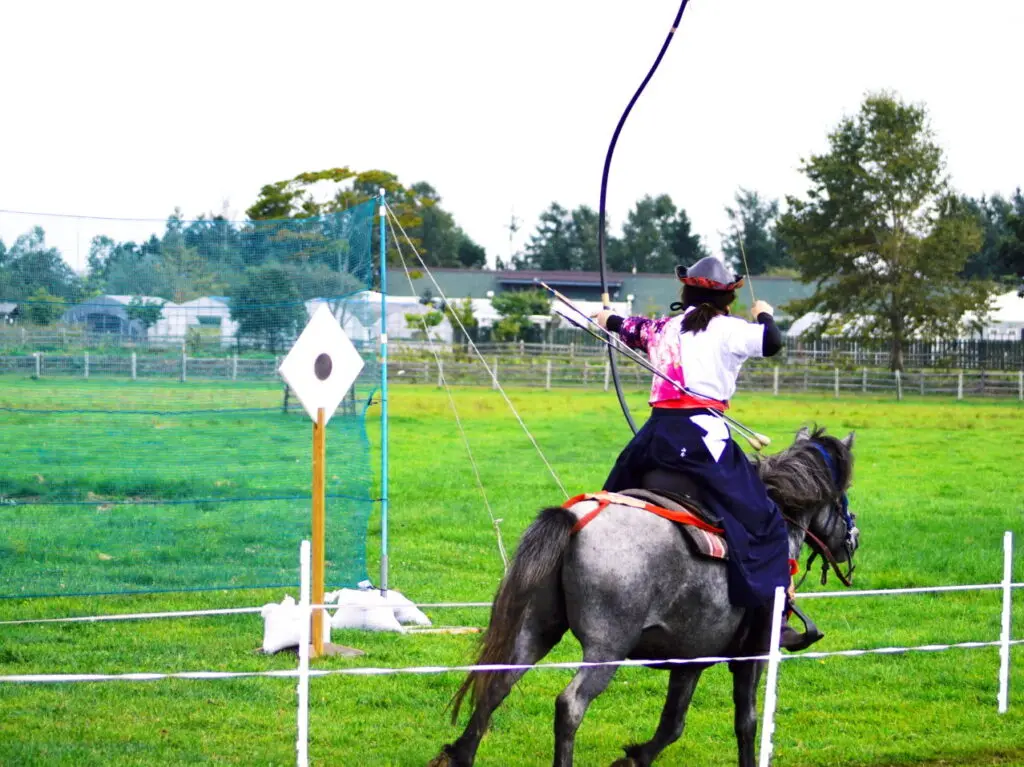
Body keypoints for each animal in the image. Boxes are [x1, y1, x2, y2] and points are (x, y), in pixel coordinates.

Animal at [428, 423, 860, 765]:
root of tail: (576, 519)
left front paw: (635, 757)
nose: (851, 542)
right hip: (607, 648)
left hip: (536, 628)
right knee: (570, 705)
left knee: (497, 682)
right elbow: (746, 722)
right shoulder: (750, 655)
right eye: (844, 497)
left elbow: (673, 723)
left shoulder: (692, 657)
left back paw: (460, 755)